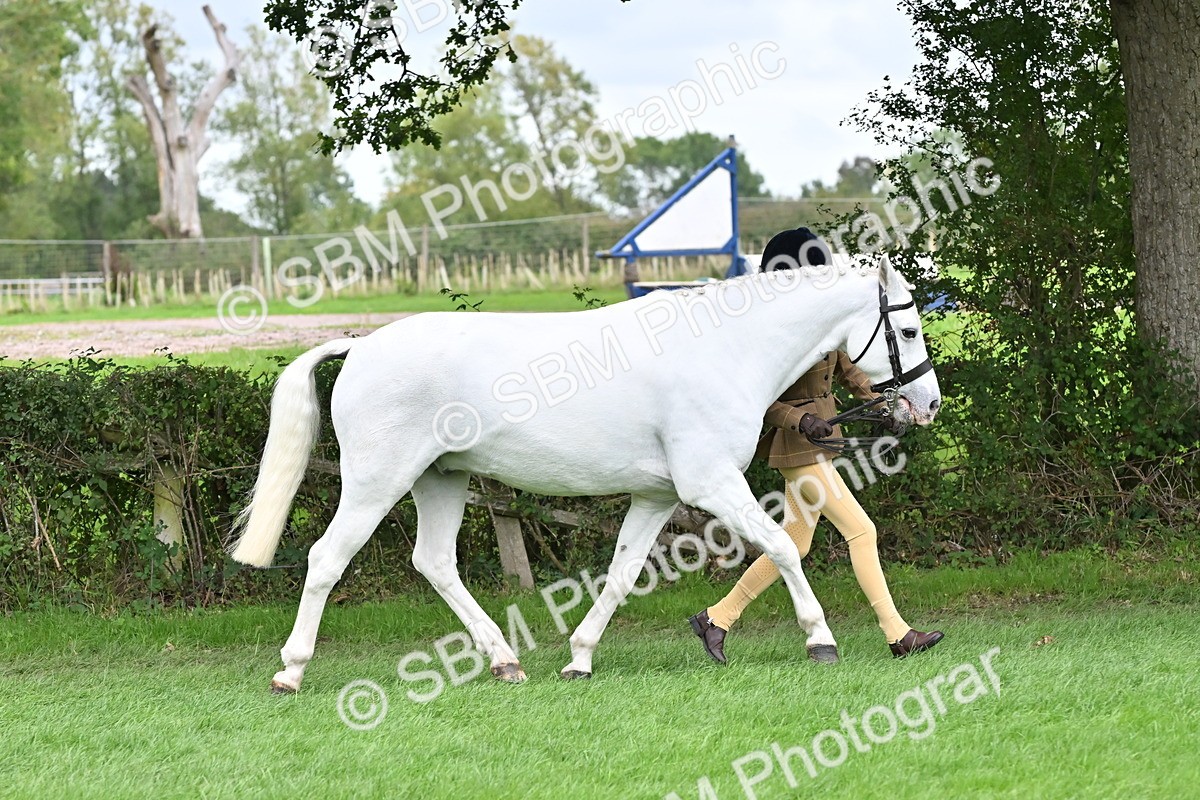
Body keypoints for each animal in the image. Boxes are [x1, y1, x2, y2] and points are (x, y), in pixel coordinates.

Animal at [230, 254, 941, 693]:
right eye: (907, 327)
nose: (927, 404)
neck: (724, 350)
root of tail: (361, 347)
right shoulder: (710, 483)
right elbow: (782, 550)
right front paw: (820, 639)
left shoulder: (657, 496)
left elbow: (623, 574)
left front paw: (579, 658)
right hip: (376, 483)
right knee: (327, 560)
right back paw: (290, 672)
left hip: (442, 479)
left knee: (434, 562)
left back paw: (506, 662)